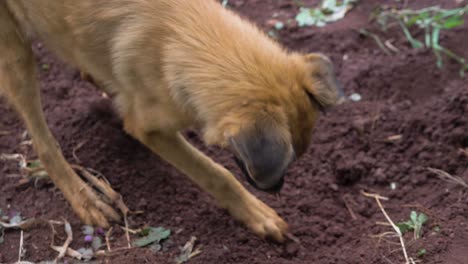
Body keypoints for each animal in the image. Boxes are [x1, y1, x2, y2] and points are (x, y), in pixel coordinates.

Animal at [1, 0, 342, 241]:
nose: (278, 189)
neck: (186, 37)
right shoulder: (150, 129)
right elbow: (216, 173)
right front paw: (257, 214)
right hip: (15, 53)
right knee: (43, 142)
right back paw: (85, 199)